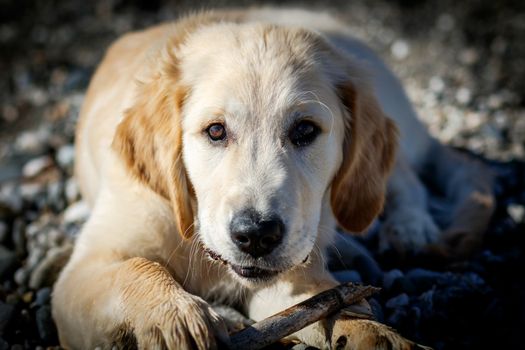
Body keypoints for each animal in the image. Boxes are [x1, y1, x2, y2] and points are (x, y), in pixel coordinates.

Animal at [50, 6, 492, 348]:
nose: (256, 235)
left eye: (305, 130)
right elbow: (138, 268)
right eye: (215, 131)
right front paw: (175, 319)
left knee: (405, 179)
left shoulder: (291, 270)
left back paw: (410, 228)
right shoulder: (82, 271)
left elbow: (327, 299)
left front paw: (374, 334)